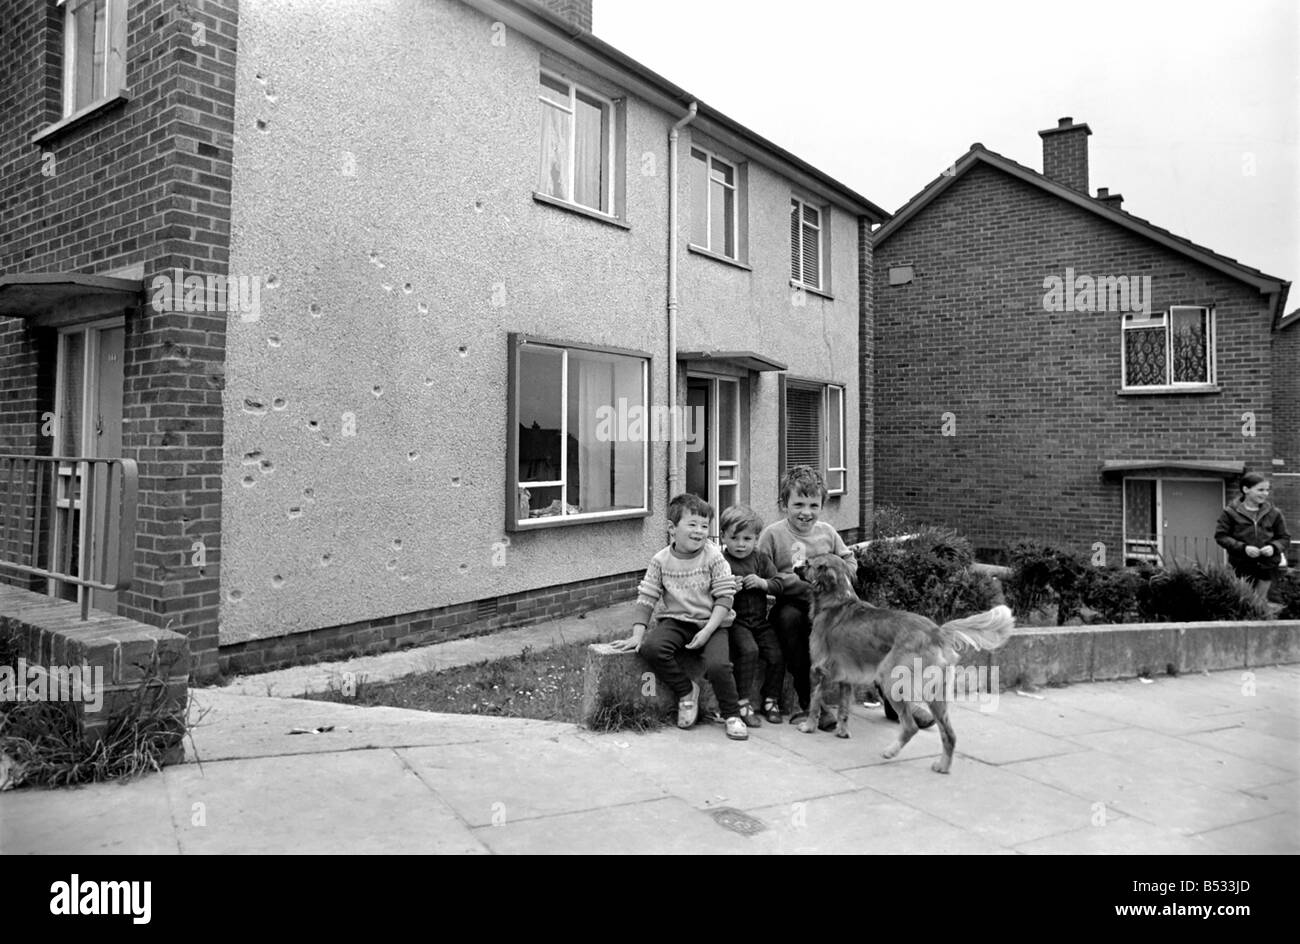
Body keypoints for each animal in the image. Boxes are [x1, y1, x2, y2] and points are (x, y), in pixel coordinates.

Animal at [790, 553, 1013, 774]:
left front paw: (809, 726)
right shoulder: (846, 679)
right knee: (949, 734)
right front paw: (842, 732)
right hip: (935, 695)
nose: (795, 567)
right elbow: (844, 709)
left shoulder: (820, 670)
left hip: (890, 681)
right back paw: (942, 766)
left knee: (910, 726)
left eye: (809, 563)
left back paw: (890, 751)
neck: (837, 601)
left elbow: (815, 701)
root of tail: (936, 632)